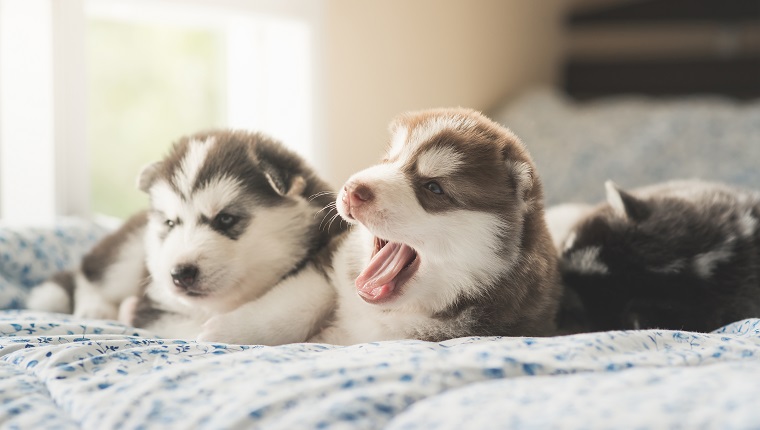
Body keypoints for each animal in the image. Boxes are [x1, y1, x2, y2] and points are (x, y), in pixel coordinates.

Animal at [26, 129, 342, 340]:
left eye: (225, 219)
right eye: (170, 223)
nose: (179, 274)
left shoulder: (330, 247)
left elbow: (304, 296)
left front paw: (232, 331)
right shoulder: (156, 304)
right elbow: (182, 328)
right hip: (129, 250)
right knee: (87, 272)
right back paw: (96, 307)